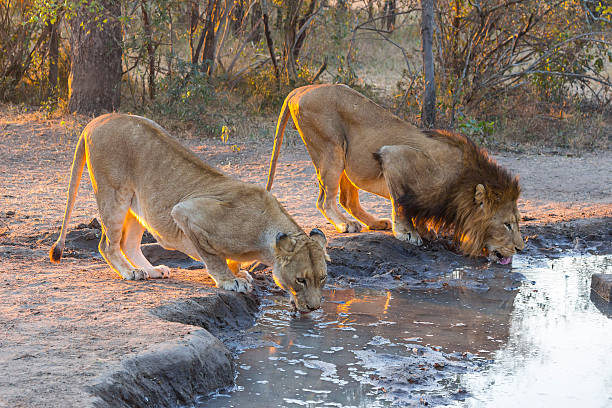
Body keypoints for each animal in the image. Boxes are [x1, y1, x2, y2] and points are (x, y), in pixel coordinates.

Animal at [52, 113, 330, 310]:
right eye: (301, 280)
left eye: (323, 278)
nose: (315, 308)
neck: (264, 240)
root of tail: (97, 120)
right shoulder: (187, 213)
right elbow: (213, 257)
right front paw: (230, 280)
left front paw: (238, 271)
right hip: (114, 193)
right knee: (107, 245)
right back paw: (130, 272)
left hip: (138, 202)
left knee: (128, 244)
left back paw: (152, 270)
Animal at [266, 84, 524, 262]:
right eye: (507, 225)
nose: (521, 248)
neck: (460, 184)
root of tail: (301, 89)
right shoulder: (394, 157)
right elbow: (401, 203)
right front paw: (407, 233)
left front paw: (425, 230)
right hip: (331, 149)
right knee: (324, 200)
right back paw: (345, 224)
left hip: (348, 160)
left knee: (347, 199)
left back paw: (373, 222)